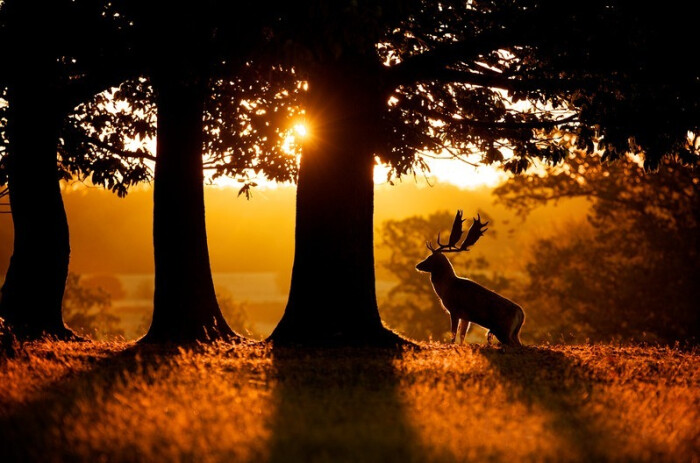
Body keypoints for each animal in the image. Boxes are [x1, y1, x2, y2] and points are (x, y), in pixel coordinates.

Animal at [416, 212, 524, 346]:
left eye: (430, 258)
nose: (418, 265)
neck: (446, 287)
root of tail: (521, 313)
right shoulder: (466, 317)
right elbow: (462, 336)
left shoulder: (454, 309)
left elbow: (453, 334)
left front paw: (451, 345)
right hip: (513, 333)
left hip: (503, 329)